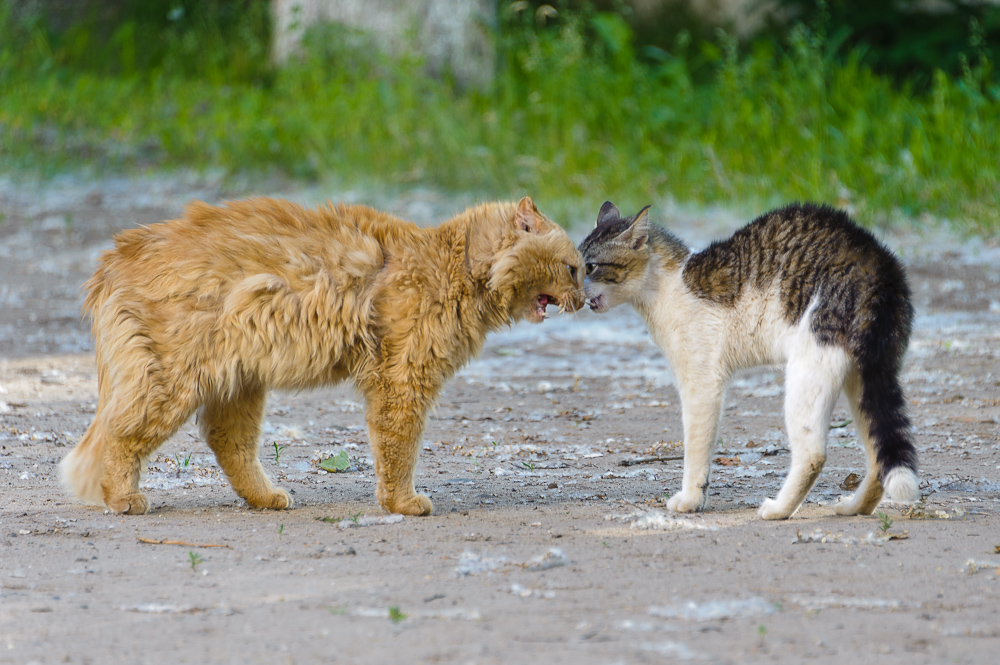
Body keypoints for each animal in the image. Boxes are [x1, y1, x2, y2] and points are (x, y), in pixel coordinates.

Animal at [58, 195, 584, 516]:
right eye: (573, 268)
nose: (585, 297)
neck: (453, 264)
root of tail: (115, 255)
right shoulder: (403, 381)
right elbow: (399, 450)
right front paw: (402, 504)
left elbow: (393, 449)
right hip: (173, 383)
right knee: (121, 434)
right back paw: (124, 499)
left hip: (239, 382)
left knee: (226, 442)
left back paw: (267, 497)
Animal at [580, 202, 920, 520]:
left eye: (590, 267)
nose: (576, 291)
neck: (667, 286)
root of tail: (878, 262)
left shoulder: (701, 384)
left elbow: (696, 448)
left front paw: (691, 498)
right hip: (863, 377)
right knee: (878, 457)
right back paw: (854, 508)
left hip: (809, 366)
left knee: (813, 454)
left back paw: (779, 509)